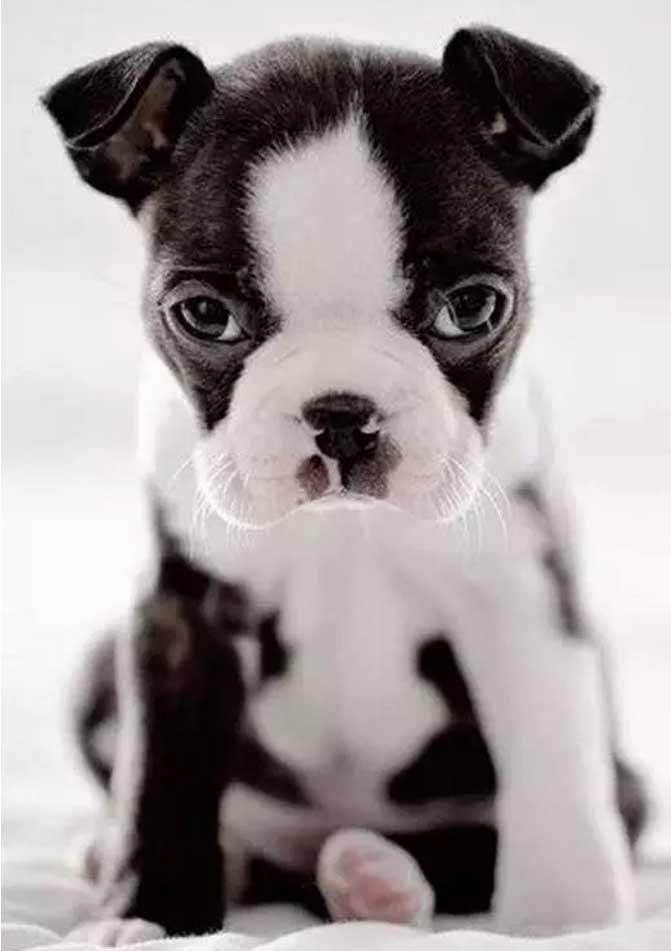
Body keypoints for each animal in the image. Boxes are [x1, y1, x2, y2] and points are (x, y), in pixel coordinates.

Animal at [44, 26, 647, 940]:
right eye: (204, 316)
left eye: (471, 308)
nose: (340, 415)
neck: (343, 528)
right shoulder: (181, 611)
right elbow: (163, 773)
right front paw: (148, 914)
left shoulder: (521, 591)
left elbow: (551, 764)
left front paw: (563, 916)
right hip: (95, 671)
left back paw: (376, 877)